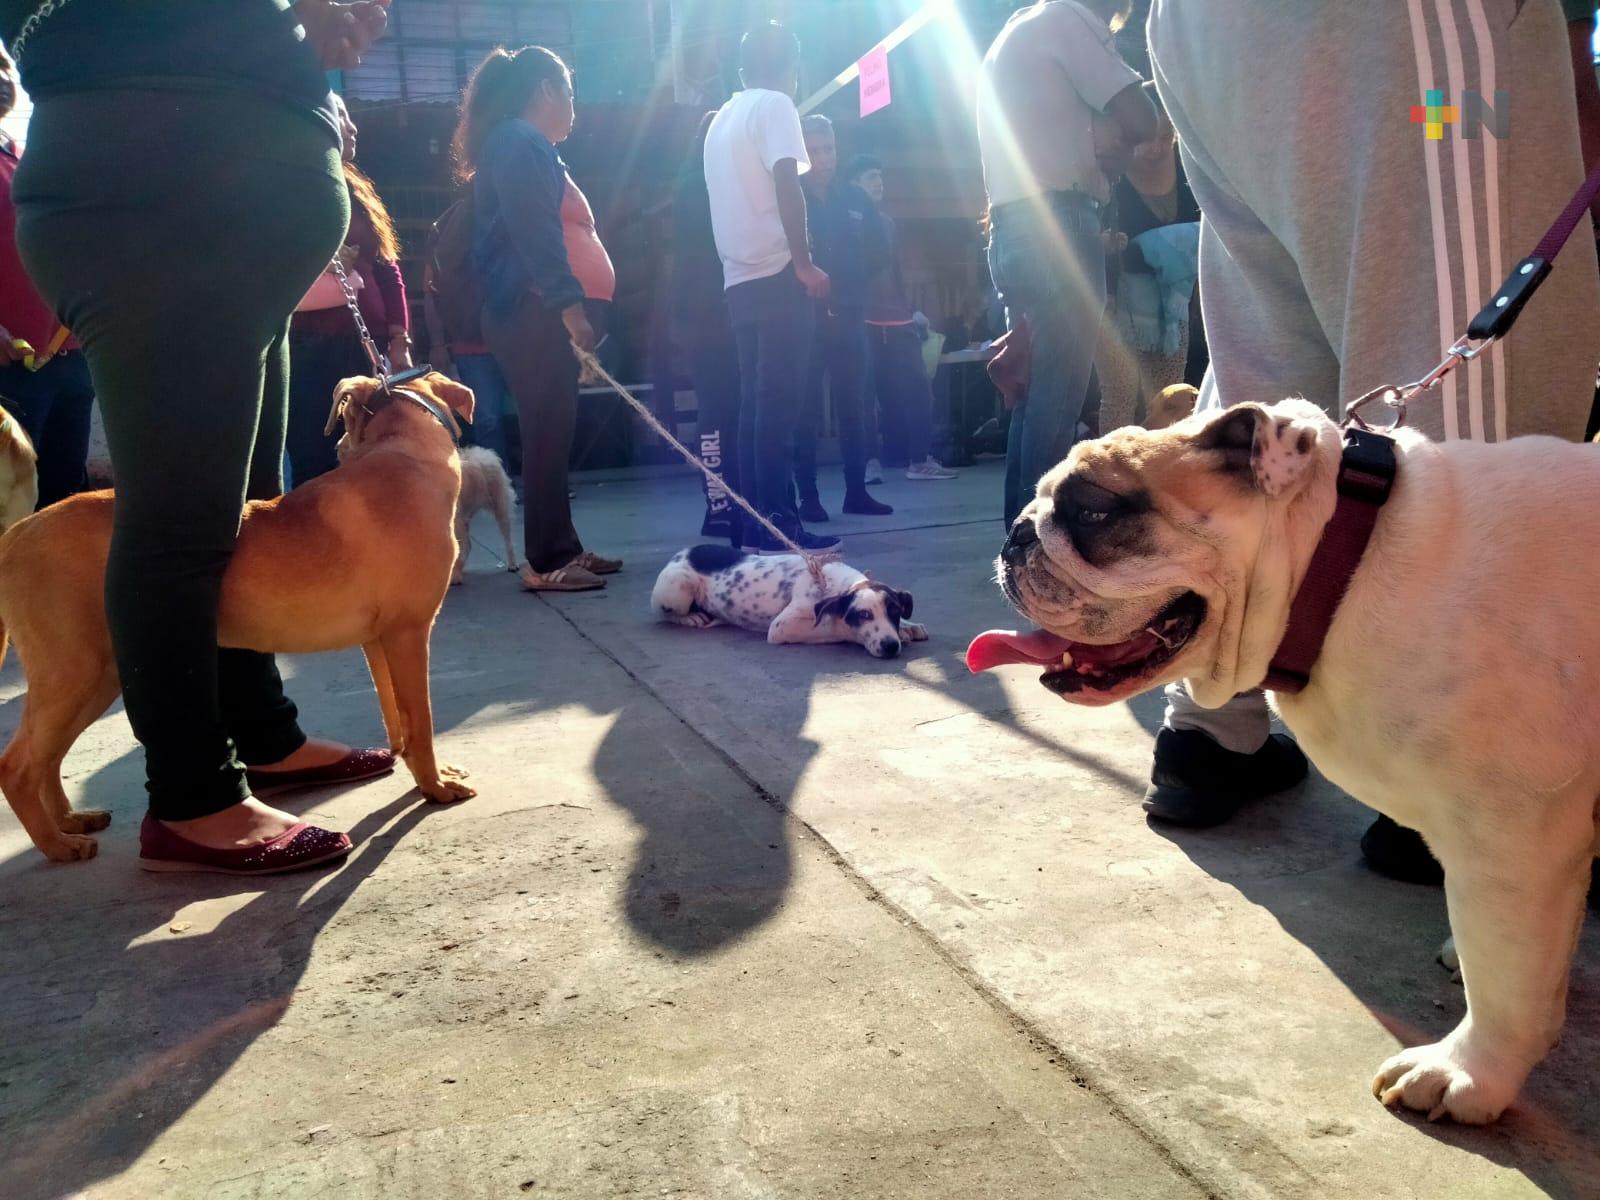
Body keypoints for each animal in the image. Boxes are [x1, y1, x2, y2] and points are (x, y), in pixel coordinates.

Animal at [0, 371, 476, 857]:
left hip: (97, 676)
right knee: (16, 765)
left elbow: (397, 717)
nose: (339, 448)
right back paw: (57, 845)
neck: (405, 454)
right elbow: (422, 722)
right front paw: (436, 788)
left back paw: (69, 820)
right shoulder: (408, 634)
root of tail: (17, 533)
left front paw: (420, 774)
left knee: (46, 756)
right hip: (72, 672)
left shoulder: (378, 640)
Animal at [646, 544, 928, 659]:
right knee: (665, 613)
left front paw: (907, 626)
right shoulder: (782, 627)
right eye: (863, 615)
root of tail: (681, 553)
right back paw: (691, 616)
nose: (890, 646)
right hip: (677, 586)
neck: (828, 582)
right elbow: (835, 626)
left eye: (894, 611)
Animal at [972, 400, 1600, 1126]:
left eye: (1095, 511)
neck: (1342, 559)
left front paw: (1466, 1072)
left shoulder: (1513, 842)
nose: (1016, 535)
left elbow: (1506, 978)